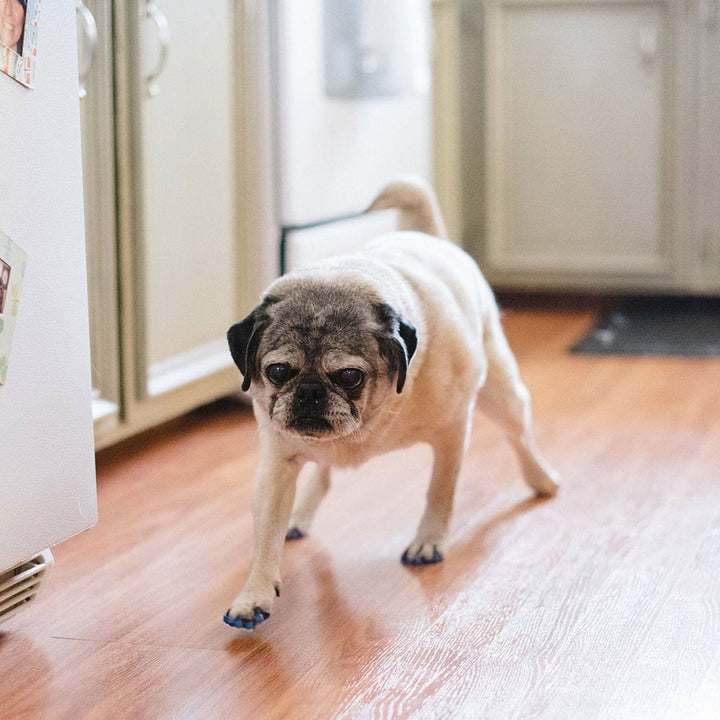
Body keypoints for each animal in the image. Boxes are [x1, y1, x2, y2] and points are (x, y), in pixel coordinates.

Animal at [222, 177, 560, 628]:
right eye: (277, 371)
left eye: (350, 376)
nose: (310, 391)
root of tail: (432, 236)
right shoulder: (277, 464)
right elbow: (265, 539)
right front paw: (254, 594)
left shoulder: (452, 433)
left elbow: (440, 492)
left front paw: (429, 539)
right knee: (322, 473)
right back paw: (300, 514)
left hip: (500, 394)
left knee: (520, 436)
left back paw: (542, 479)